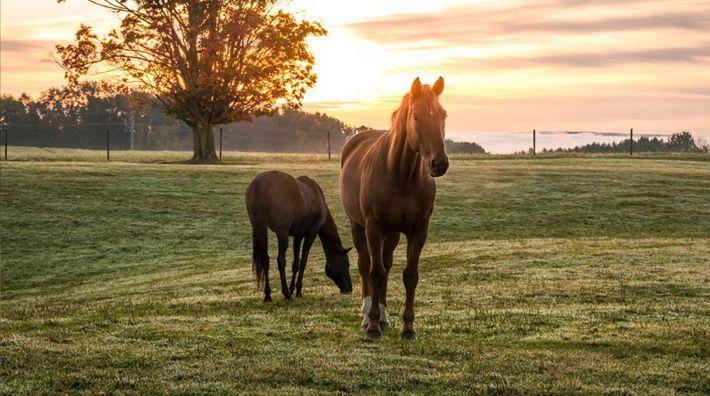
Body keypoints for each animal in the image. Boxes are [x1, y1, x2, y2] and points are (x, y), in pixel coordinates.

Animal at [246, 171, 354, 304]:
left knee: (265, 260)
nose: (349, 289)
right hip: (282, 233)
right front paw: (297, 291)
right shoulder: (311, 233)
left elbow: (296, 263)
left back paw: (268, 294)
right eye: (347, 263)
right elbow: (303, 262)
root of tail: (259, 184)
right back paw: (285, 293)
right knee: (280, 261)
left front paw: (292, 289)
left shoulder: (297, 235)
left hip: (260, 228)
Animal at [340, 77, 450, 340]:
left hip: (391, 234)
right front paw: (372, 327)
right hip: (358, 226)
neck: (401, 175)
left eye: (443, 114)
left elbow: (409, 275)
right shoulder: (373, 227)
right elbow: (375, 273)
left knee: (387, 264)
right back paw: (367, 315)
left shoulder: (418, 229)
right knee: (366, 265)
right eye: (416, 116)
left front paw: (408, 328)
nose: (439, 164)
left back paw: (384, 317)